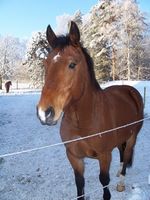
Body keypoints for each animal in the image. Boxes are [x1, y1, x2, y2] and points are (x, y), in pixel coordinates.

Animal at [37, 21, 144, 200]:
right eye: (46, 64)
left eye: (72, 64)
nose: (45, 112)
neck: (84, 119)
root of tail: (130, 90)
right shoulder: (74, 157)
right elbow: (80, 184)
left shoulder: (104, 155)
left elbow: (104, 181)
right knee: (122, 153)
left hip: (132, 137)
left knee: (127, 153)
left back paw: (121, 182)